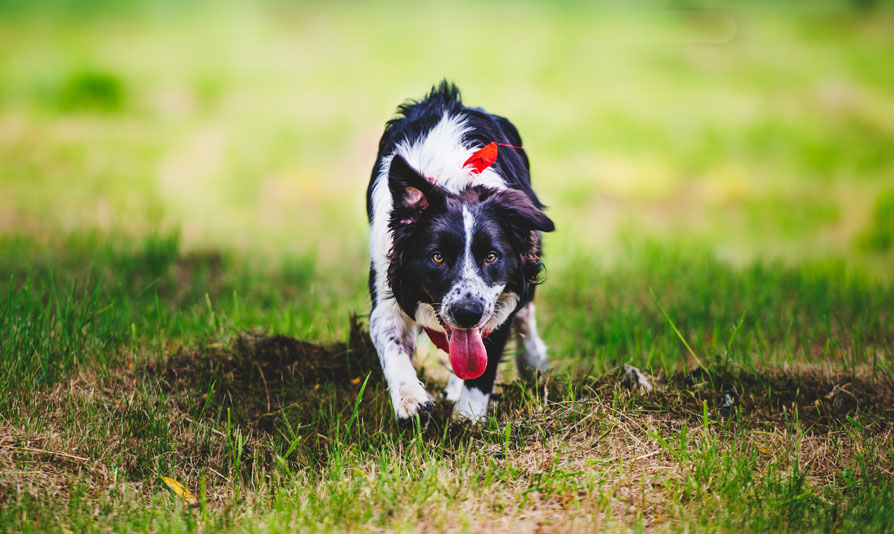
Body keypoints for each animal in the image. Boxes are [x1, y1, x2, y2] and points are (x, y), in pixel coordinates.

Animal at [366, 81, 552, 422]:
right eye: (437, 257)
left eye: (491, 257)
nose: (468, 313)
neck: (455, 186)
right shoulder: (387, 275)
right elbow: (389, 338)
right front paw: (410, 400)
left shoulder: (500, 297)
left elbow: (486, 358)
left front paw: (469, 416)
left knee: (526, 313)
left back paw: (532, 362)